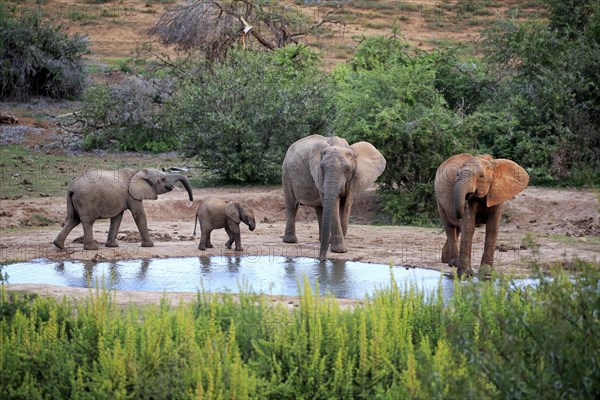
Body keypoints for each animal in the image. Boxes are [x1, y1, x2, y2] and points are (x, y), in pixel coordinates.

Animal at [53, 168, 193, 250]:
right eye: (163, 179)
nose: (190, 203)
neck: (140, 172)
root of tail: (72, 188)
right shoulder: (131, 194)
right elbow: (138, 214)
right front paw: (150, 246)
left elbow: (117, 217)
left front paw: (112, 246)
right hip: (86, 199)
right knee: (87, 221)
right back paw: (92, 248)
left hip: (72, 200)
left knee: (73, 220)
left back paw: (58, 245)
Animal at [280, 134, 384, 262]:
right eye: (322, 168)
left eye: (348, 169)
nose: (321, 260)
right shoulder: (320, 176)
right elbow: (334, 205)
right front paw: (339, 250)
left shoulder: (352, 180)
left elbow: (346, 205)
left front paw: (339, 248)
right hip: (286, 174)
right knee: (292, 206)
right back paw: (291, 241)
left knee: (320, 209)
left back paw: (324, 241)